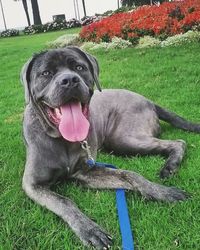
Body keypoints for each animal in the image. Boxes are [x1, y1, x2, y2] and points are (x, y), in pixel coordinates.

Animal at [21, 46, 199, 248]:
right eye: (46, 73)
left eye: (79, 67)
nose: (70, 80)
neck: (63, 139)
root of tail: (147, 100)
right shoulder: (33, 184)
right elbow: (64, 201)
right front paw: (90, 230)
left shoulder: (87, 171)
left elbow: (130, 175)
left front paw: (163, 192)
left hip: (123, 138)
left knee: (178, 142)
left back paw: (170, 166)